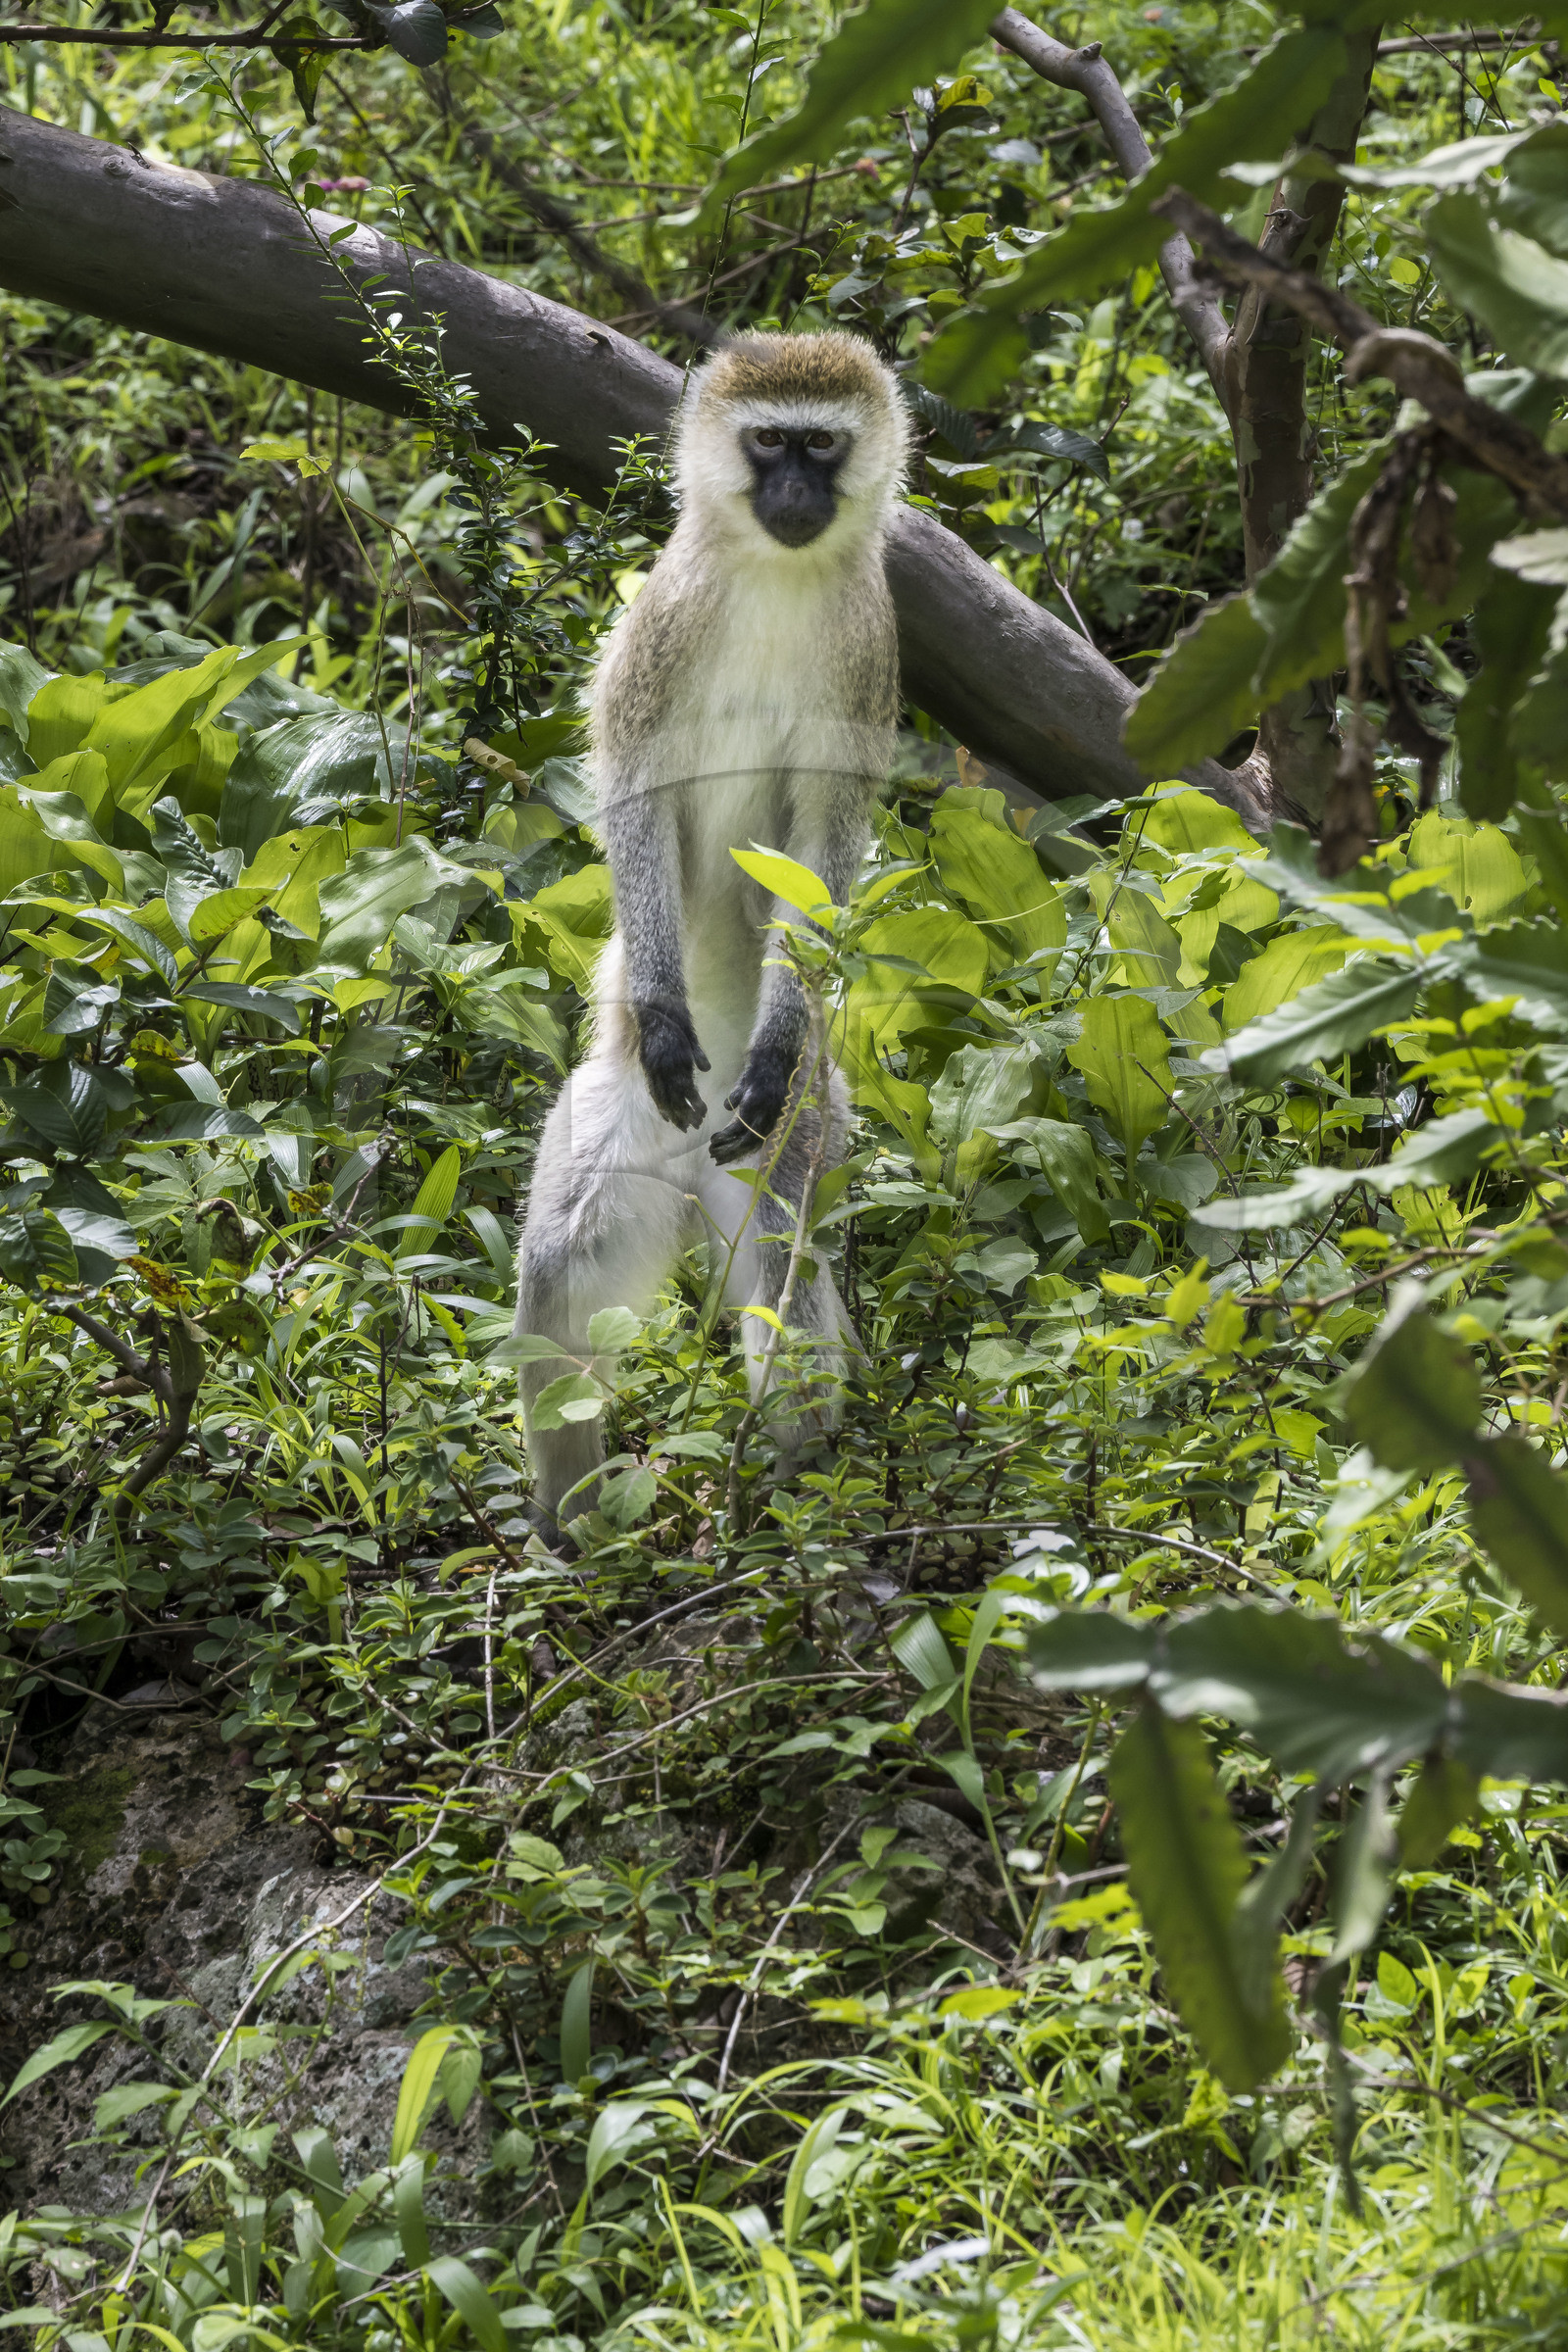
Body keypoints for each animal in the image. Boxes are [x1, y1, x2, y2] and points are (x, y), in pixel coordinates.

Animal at [512, 329, 909, 1532]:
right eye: (768, 442)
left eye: (822, 447)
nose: (794, 494)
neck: (777, 577)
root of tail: (693, 1175)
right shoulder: (663, 620)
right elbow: (635, 790)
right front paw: (658, 1015)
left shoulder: (871, 647)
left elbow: (823, 845)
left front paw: (776, 1041)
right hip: (626, 1127)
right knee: (559, 1274)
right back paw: (579, 1528)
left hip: (795, 1138)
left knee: (784, 1278)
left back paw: (793, 1502)